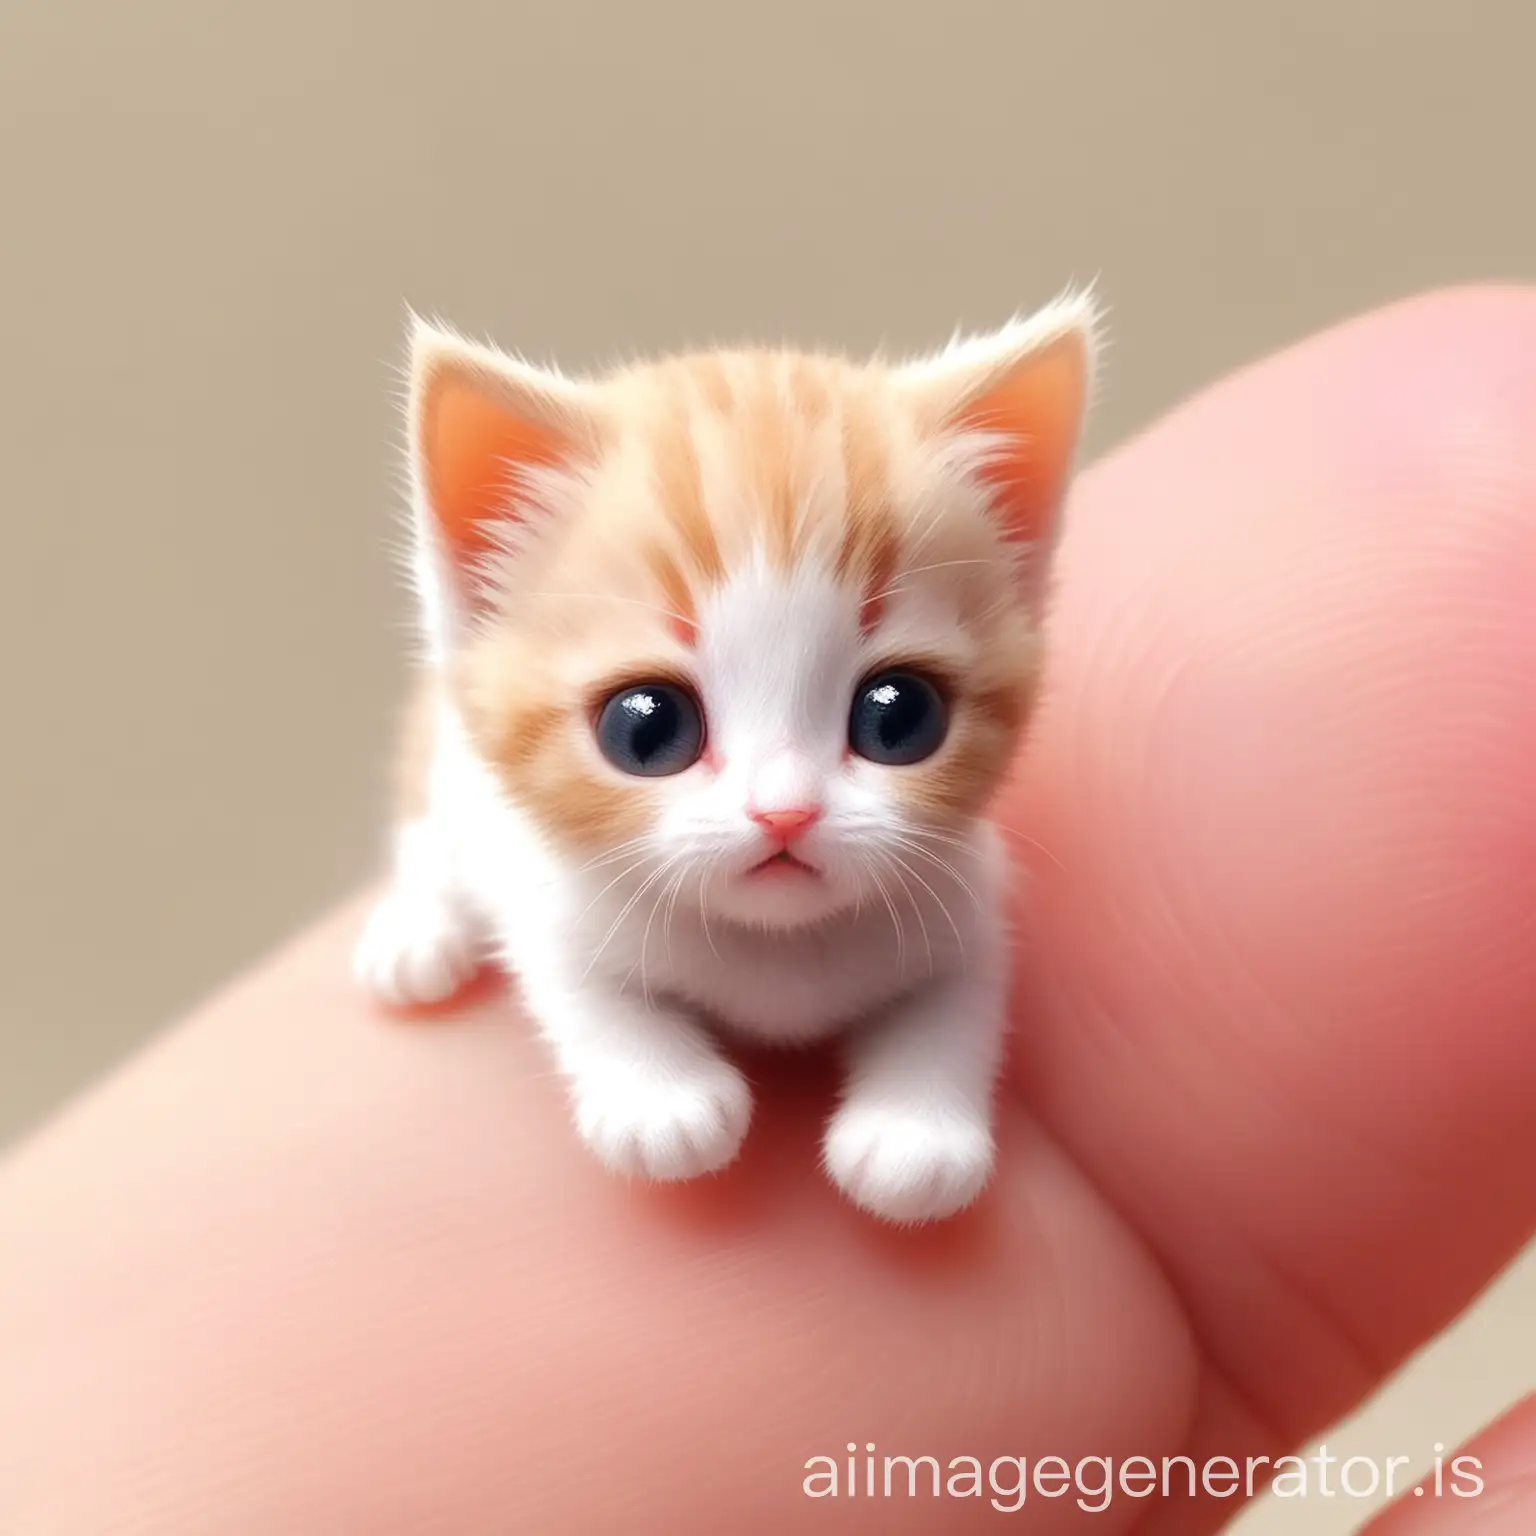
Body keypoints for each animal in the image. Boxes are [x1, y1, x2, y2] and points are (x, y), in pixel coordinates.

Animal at [353, 290, 1099, 1222]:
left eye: (900, 717)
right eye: (646, 729)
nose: (785, 811)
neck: (772, 947)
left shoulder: (964, 893)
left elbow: (958, 1001)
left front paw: (915, 1137)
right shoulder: (549, 891)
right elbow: (580, 988)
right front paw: (661, 1103)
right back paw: (415, 936)